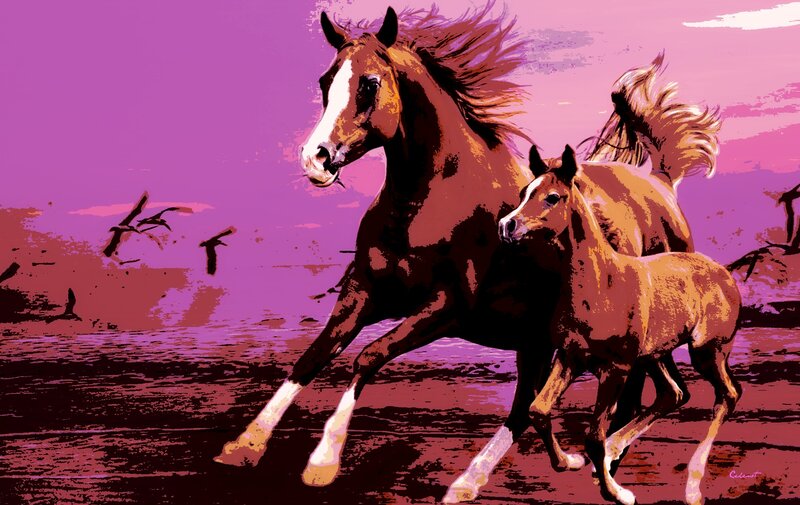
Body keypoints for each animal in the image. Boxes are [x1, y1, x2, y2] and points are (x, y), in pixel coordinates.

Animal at [212, 6, 720, 500]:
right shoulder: (364, 290)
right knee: (544, 405)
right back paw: (495, 479)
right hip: (539, 340)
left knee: (637, 397)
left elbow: (369, 356)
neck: (431, 202)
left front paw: (322, 463)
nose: (315, 158)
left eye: (369, 83)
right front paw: (244, 445)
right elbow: (316, 353)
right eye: (325, 81)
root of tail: (662, 182)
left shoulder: (446, 308)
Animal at [499, 144, 741, 505]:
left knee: (727, 396)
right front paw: (568, 462)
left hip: (706, 353)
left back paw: (693, 484)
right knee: (673, 394)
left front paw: (618, 493)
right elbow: (538, 410)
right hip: (654, 355)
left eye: (553, 197)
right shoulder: (569, 358)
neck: (601, 285)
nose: (506, 225)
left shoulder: (616, 369)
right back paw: (616, 453)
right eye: (524, 192)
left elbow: (593, 435)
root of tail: (725, 273)